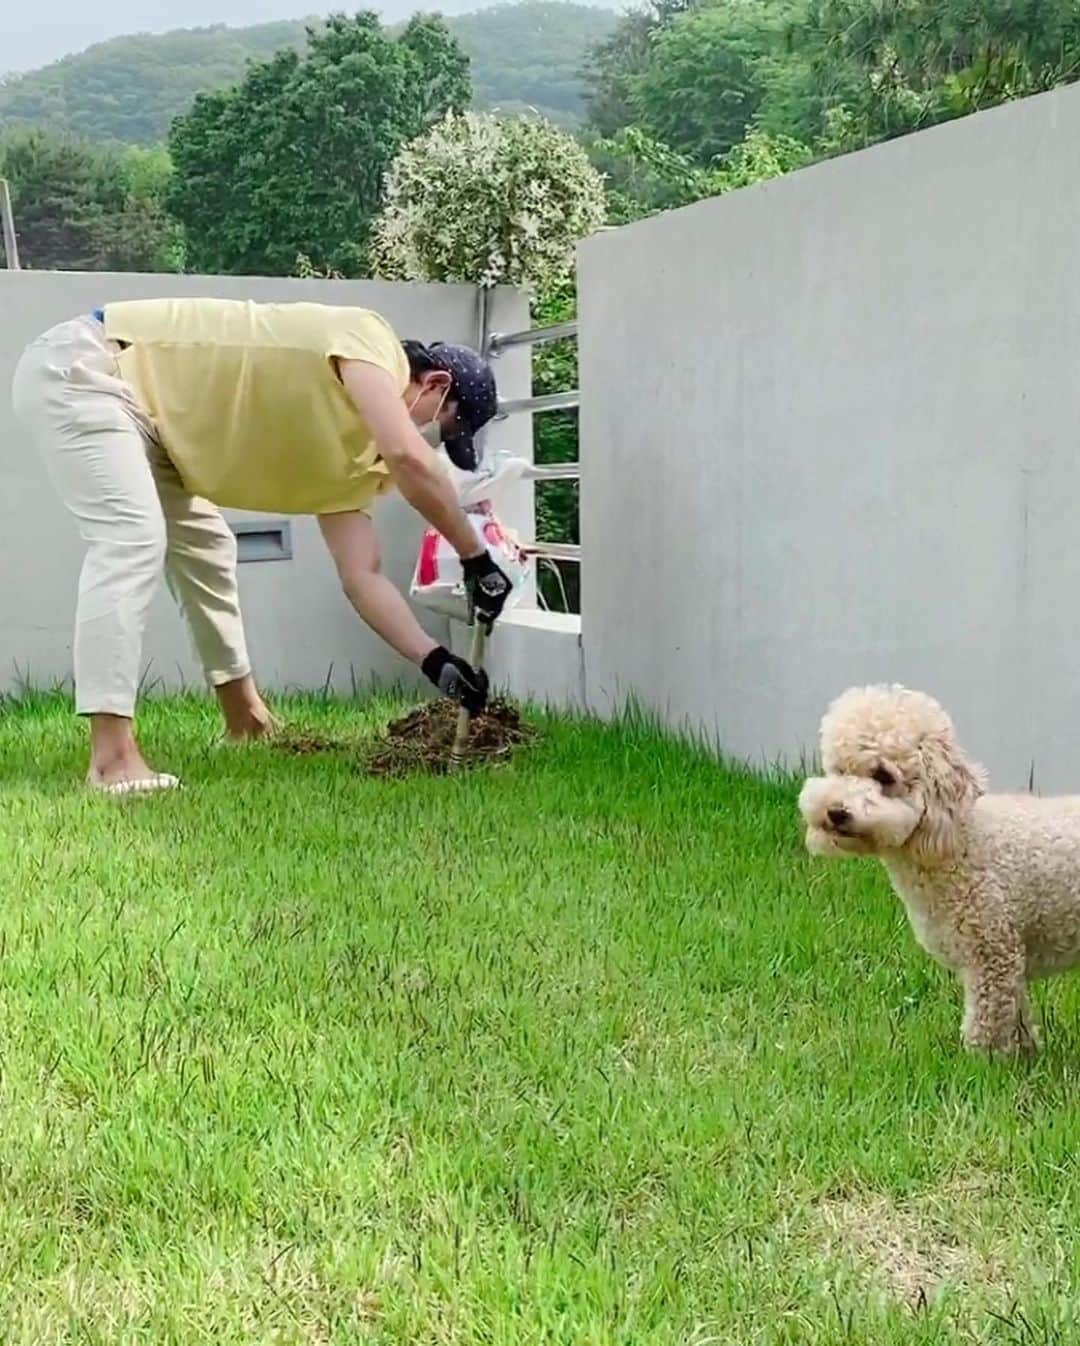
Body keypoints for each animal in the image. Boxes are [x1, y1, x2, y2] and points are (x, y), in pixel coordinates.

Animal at [797, 689, 1077, 1055]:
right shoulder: (1007, 962)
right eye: (839, 770)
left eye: (883, 776)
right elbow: (1017, 1019)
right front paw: (1022, 1056)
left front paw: (983, 1062)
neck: (959, 840)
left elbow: (987, 1024)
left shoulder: (992, 954)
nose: (836, 812)